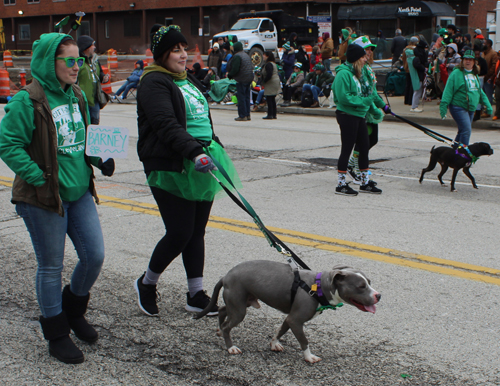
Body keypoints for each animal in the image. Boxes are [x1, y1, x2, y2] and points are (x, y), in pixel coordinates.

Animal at [193, 260, 380, 364]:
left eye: (369, 282)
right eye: (361, 286)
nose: (379, 295)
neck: (319, 287)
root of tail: (225, 276)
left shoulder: (290, 318)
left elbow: (280, 330)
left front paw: (274, 343)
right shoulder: (296, 320)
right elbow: (304, 341)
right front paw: (309, 357)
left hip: (240, 303)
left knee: (223, 310)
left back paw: (219, 330)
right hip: (239, 309)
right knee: (227, 325)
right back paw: (231, 347)